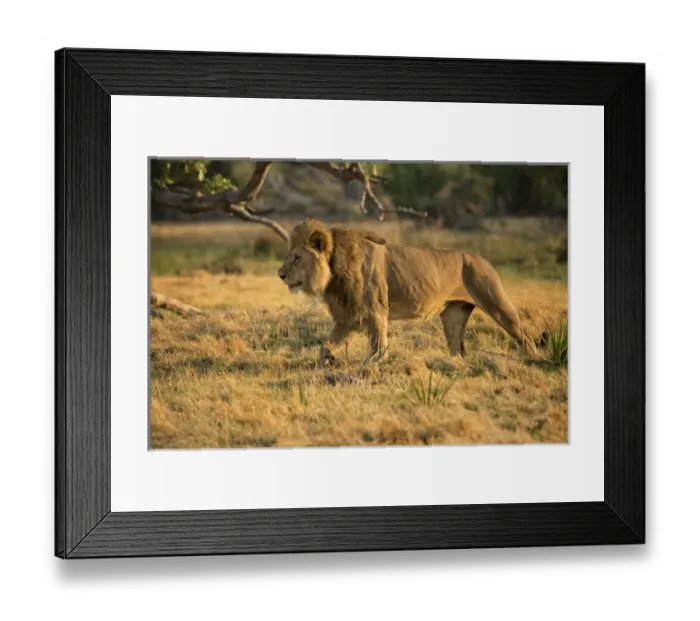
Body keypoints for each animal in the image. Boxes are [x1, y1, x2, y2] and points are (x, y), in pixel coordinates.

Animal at [277, 218, 537, 366]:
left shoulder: (376, 311)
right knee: (458, 349)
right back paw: (453, 364)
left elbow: (378, 344)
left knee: (524, 336)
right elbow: (326, 345)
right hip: (453, 317)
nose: (280, 274)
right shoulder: (349, 315)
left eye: (296, 257)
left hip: (496, 302)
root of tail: (484, 260)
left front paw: (373, 365)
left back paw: (534, 360)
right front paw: (328, 360)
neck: (333, 269)